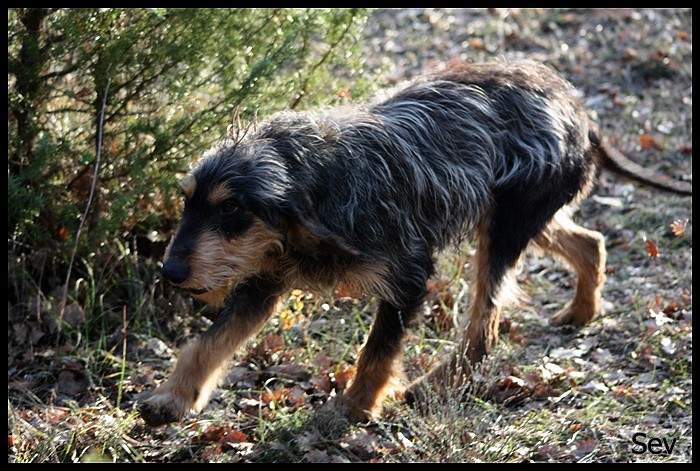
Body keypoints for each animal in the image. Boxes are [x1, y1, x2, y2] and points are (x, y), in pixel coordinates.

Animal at [139, 60, 692, 426]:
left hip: (505, 231)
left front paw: (354, 409)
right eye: (188, 203)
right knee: (591, 242)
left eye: (231, 209)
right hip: (519, 220)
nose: (170, 272)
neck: (316, 180)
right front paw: (174, 399)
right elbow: (208, 343)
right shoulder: (263, 280)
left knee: (484, 327)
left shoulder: (408, 275)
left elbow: (377, 352)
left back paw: (431, 388)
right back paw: (581, 311)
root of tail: (576, 106)